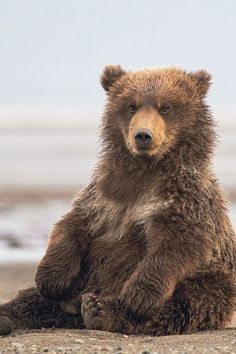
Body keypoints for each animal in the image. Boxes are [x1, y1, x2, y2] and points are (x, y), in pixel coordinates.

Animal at [0, 65, 236, 336]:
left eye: (165, 107)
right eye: (131, 105)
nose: (143, 135)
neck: (145, 171)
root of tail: (73, 314)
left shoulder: (184, 198)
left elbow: (177, 242)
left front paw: (138, 297)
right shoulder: (103, 195)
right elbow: (73, 223)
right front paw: (51, 277)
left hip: (213, 281)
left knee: (186, 303)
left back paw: (100, 310)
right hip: (83, 279)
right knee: (34, 298)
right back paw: (9, 315)